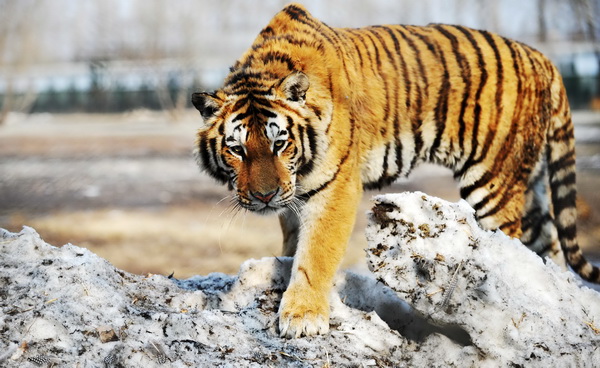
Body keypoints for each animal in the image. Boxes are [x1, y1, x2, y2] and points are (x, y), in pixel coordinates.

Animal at [193, 2, 600, 338]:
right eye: (237, 149)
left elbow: (315, 254)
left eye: (279, 143)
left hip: (495, 184)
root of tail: (542, 57)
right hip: (530, 188)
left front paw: (302, 317)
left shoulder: (335, 188)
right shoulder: (296, 193)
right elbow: (294, 246)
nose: (265, 196)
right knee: (550, 250)